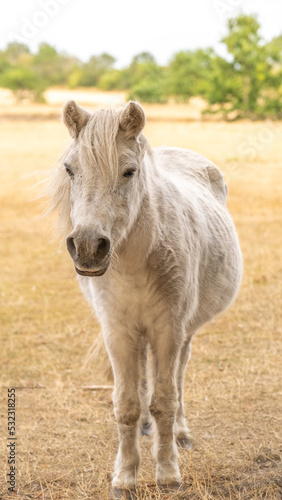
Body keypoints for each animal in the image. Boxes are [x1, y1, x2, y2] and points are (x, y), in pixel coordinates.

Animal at [48, 99, 242, 498]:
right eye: (70, 169)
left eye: (129, 171)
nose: (88, 247)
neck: (136, 261)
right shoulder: (118, 333)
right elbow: (126, 404)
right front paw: (124, 477)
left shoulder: (168, 330)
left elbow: (165, 400)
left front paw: (167, 473)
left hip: (184, 333)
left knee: (178, 378)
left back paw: (179, 434)